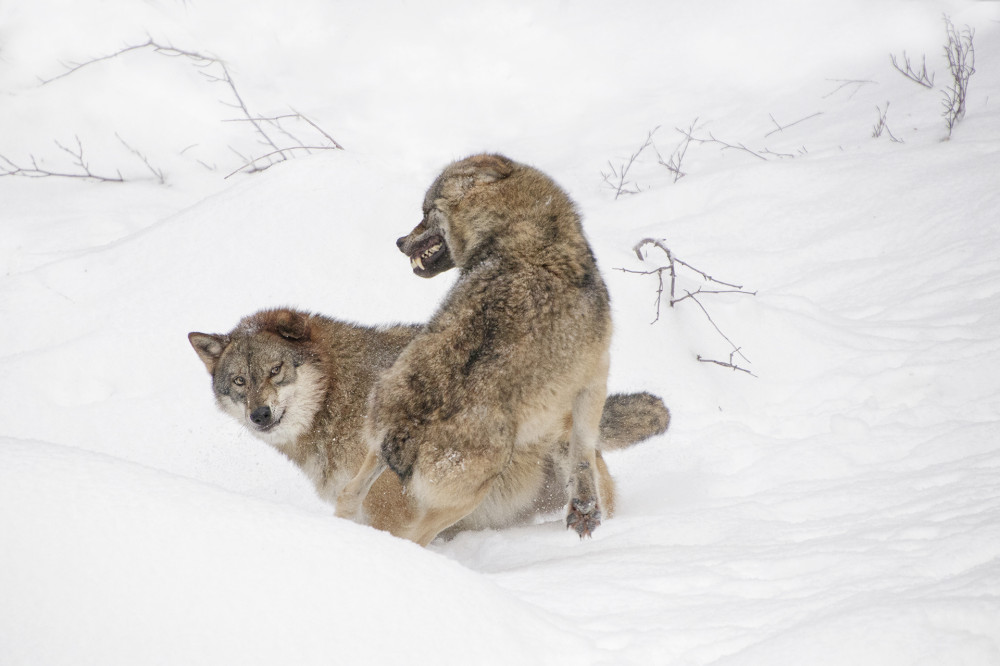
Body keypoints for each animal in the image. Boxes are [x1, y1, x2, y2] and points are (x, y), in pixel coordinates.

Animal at [336, 153, 616, 544]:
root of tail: (407, 424)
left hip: (377, 446)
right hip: (465, 498)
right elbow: (584, 451)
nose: (399, 241)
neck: (524, 232)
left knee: (347, 497)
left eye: (425, 212)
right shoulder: (594, 377)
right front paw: (585, 511)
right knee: (413, 537)